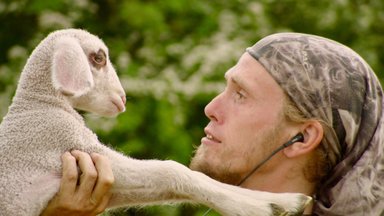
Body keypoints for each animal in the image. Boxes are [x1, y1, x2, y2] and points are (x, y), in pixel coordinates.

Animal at [0, 29, 312, 216]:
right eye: (98, 58)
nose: (122, 98)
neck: (39, 105)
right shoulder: (65, 147)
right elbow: (172, 172)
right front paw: (261, 205)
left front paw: (279, 200)